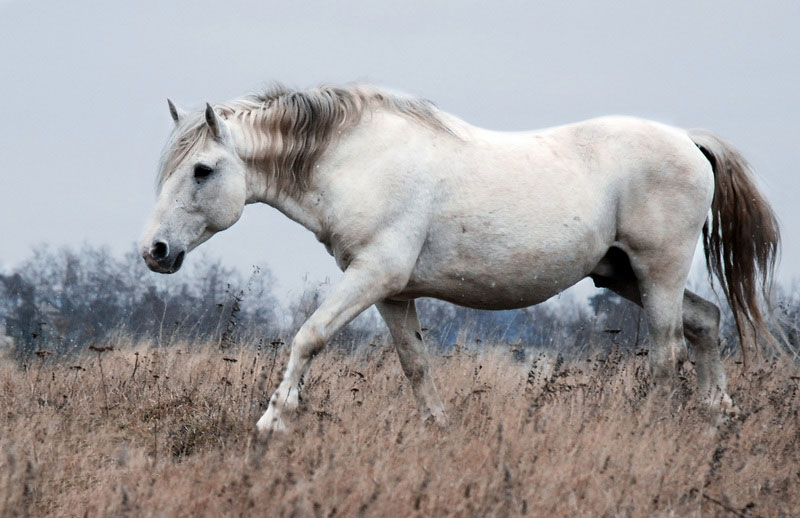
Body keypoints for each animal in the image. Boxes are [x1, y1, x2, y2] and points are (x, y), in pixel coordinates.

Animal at [141, 86, 780, 434]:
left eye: (202, 170)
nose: (155, 252)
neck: (357, 161)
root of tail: (688, 141)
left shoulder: (372, 276)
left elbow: (309, 336)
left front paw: (272, 422)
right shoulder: (393, 293)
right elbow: (415, 365)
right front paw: (437, 427)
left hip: (657, 272)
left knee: (669, 348)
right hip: (622, 273)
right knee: (705, 322)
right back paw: (716, 416)